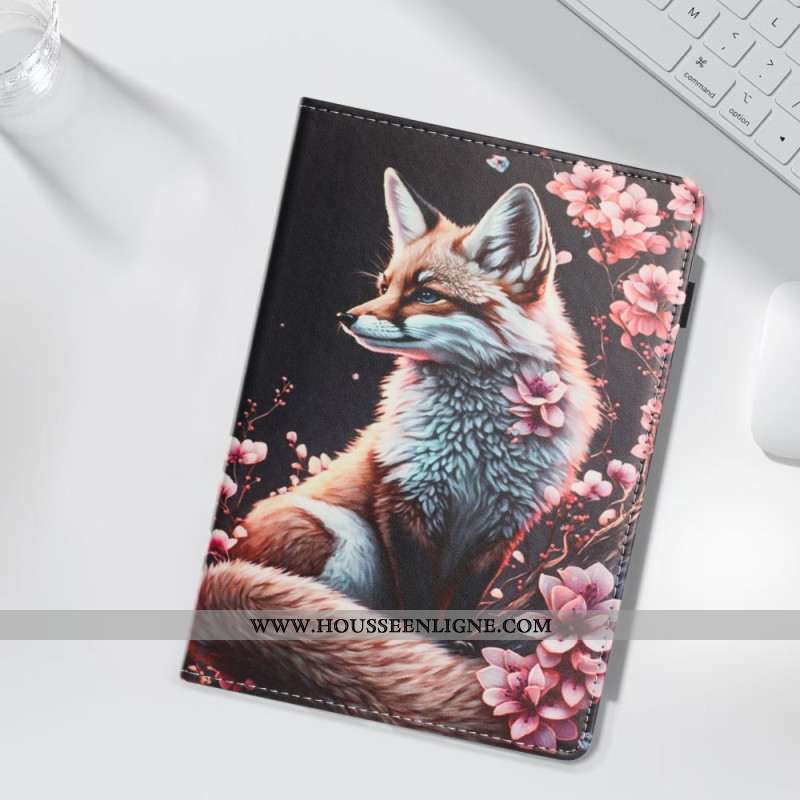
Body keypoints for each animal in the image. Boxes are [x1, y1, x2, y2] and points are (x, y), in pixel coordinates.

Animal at [189, 168, 600, 729]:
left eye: (426, 294)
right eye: (385, 286)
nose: (345, 315)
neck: (476, 446)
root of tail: (224, 560)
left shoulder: (504, 523)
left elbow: (461, 603)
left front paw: (456, 646)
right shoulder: (406, 502)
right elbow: (418, 604)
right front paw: (430, 651)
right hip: (343, 537)